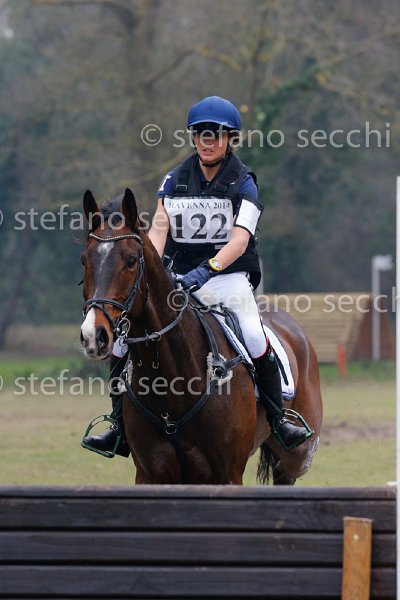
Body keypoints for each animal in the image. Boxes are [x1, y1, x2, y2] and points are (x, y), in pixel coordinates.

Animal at [80, 188, 323, 485]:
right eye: (84, 260)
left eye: (130, 261)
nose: (94, 335)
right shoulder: (150, 475)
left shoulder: (227, 474)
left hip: (298, 455)